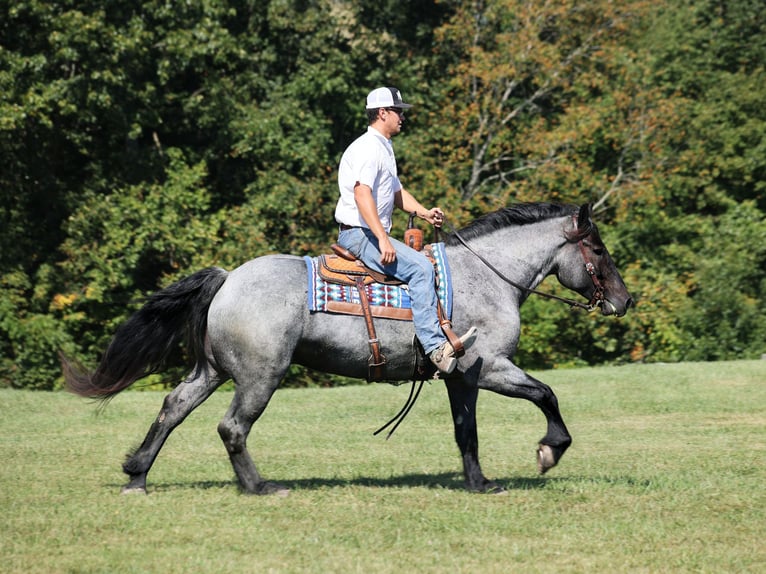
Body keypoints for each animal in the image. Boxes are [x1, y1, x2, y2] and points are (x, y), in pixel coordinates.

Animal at [63, 201, 632, 496]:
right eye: (597, 248)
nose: (624, 301)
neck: (486, 276)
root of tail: (228, 278)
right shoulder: (489, 366)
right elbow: (546, 394)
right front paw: (549, 450)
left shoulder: (460, 376)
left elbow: (465, 430)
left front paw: (478, 481)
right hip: (260, 376)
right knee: (232, 427)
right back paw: (260, 487)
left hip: (212, 371)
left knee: (172, 408)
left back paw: (138, 476)